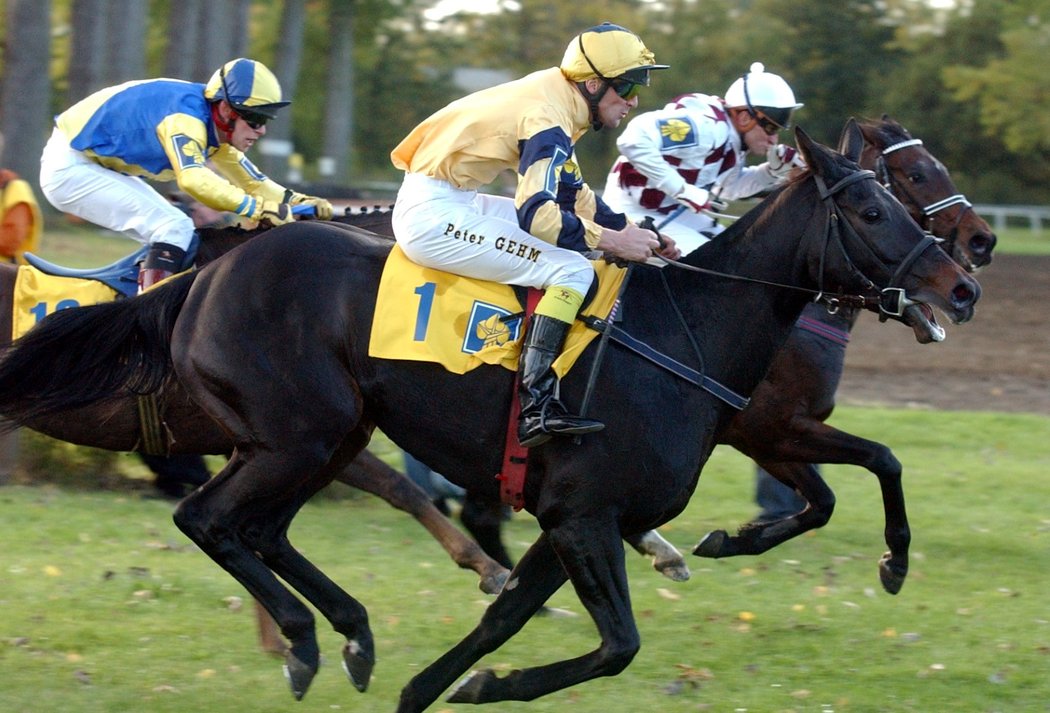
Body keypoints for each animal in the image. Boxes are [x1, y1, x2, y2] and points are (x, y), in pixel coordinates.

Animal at [0, 127, 982, 709]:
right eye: (876, 201)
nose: (967, 278)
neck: (685, 332)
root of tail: (201, 274)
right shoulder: (588, 514)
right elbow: (617, 644)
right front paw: (484, 682)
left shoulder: (572, 520)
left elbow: (502, 621)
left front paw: (442, 683)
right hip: (299, 433)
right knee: (208, 518)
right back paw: (309, 638)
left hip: (321, 435)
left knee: (263, 529)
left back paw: (349, 631)